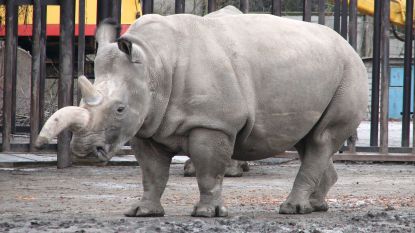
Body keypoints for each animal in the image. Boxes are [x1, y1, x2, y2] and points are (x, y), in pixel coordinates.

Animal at [35, 8, 368, 217]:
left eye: (119, 109)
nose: (83, 152)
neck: (153, 65)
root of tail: (349, 45)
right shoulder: (147, 125)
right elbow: (151, 174)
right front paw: (143, 213)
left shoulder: (213, 124)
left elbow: (209, 170)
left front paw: (207, 214)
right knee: (308, 141)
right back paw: (316, 206)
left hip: (350, 72)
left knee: (321, 140)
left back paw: (292, 210)